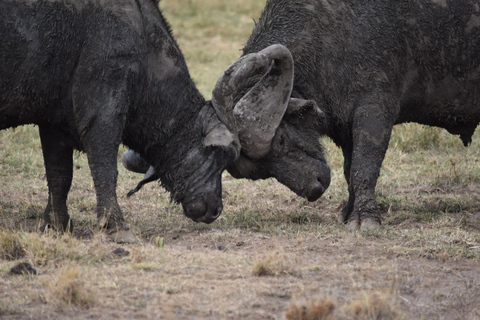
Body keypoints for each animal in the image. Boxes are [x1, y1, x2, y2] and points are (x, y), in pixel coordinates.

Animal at [0, 0, 310, 241]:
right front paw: (116, 226)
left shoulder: (53, 124)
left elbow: (59, 175)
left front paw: (55, 224)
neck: (142, 42)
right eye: (220, 156)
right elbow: (104, 167)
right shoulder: (103, 110)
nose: (216, 210)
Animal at [240, 0, 480, 230]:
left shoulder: (374, 111)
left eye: (281, 139)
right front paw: (348, 212)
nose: (314, 189)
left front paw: (365, 217)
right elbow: (349, 171)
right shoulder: (345, 125)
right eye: (261, 171)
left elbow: (363, 167)